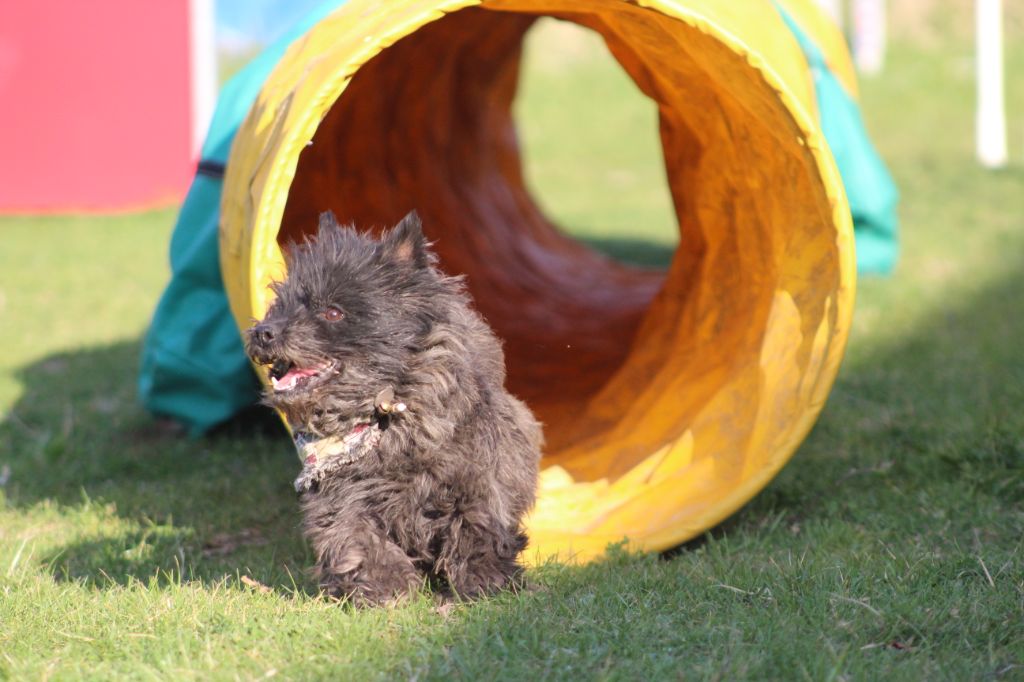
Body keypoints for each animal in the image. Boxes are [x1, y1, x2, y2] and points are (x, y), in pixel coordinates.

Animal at [245, 209, 544, 602]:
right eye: (281, 305)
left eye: (333, 312)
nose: (264, 332)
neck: (381, 414)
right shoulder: (343, 499)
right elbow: (357, 539)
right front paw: (386, 588)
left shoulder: (475, 482)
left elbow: (476, 528)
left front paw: (484, 582)